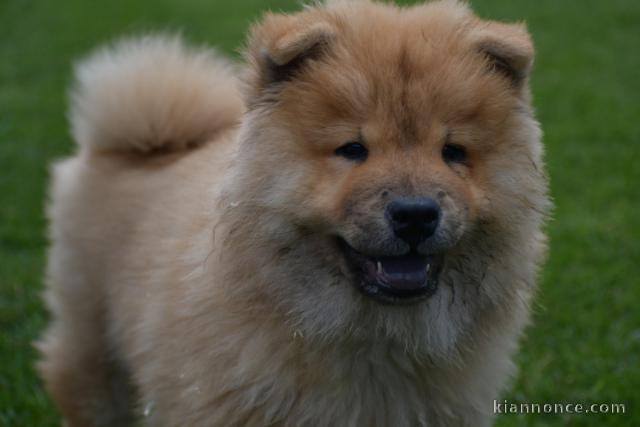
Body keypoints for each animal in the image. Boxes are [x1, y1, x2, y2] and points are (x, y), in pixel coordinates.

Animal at [38, 0, 552, 427]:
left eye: (453, 152)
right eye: (352, 150)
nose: (415, 214)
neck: (374, 342)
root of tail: (149, 141)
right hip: (92, 340)